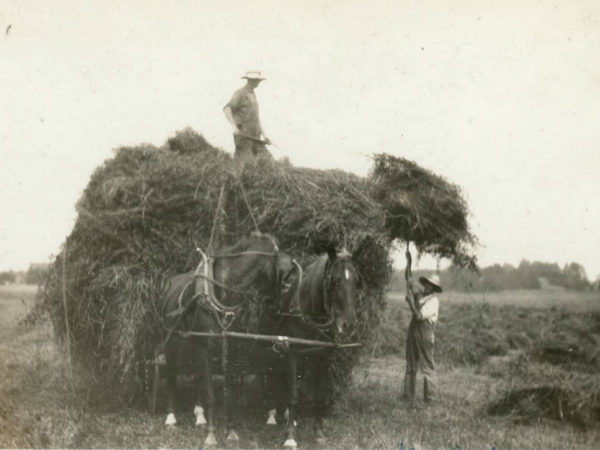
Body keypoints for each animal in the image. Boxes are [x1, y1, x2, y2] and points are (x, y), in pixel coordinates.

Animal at [159, 232, 286, 446]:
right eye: (279, 262)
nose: (279, 301)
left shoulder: (230, 345)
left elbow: (230, 391)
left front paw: (231, 431)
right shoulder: (207, 346)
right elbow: (211, 393)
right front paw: (211, 435)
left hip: (193, 342)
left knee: (196, 374)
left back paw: (199, 415)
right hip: (173, 342)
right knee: (171, 374)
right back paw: (171, 416)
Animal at [266, 248, 360, 448]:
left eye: (357, 282)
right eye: (335, 281)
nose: (348, 325)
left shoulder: (323, 356)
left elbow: (320, 394)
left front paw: (318, 432)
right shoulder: (291, 352)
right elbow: (293, 394)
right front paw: (290, 436)